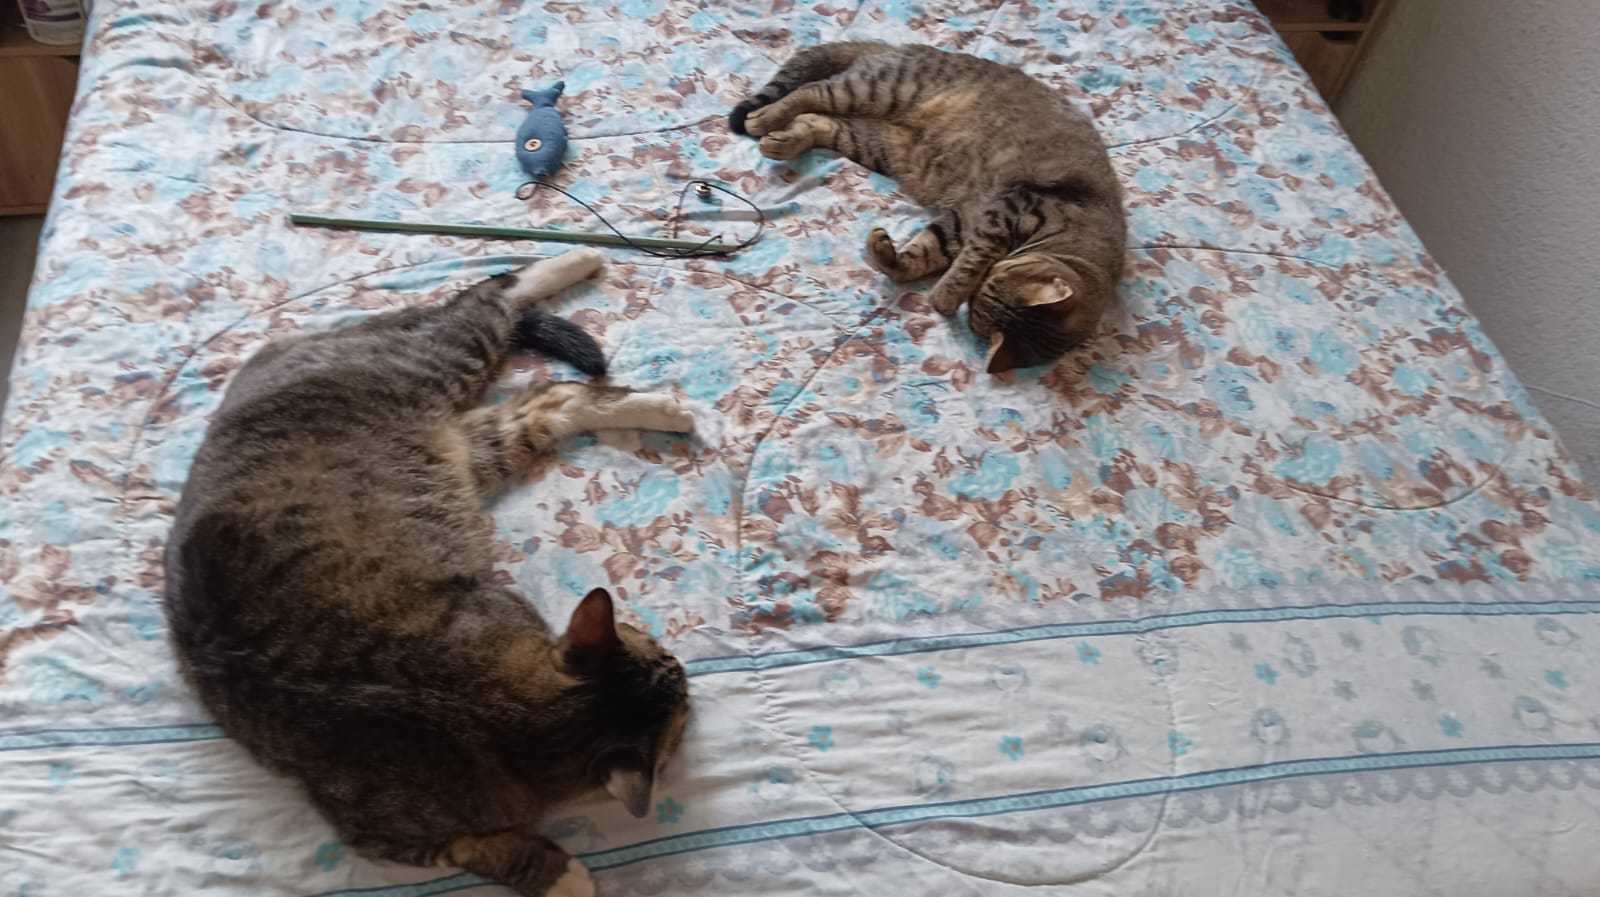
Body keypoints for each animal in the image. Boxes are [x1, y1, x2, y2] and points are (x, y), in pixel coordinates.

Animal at [167, 247, 694, 895]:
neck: (484, 708)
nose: (682, 669)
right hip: (459, 396)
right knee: (509, 342)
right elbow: (484, 848)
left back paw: (592, 288)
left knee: (516, 345)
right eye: (666, 662)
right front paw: (563, 876)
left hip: (467, 396)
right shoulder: (384, 836)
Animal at [729, 41, 1126, 370]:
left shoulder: (966, 222)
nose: (975, 294)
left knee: (819, 121)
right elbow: (968, 264)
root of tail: (901, 47)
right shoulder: (1007, 212)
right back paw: (764, 119)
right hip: (877, 90)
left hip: (878, 144)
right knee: (809, 93)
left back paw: (783, 141)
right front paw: (945, 296)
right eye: (993, 282)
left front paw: (896, 262)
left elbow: (921, 254)